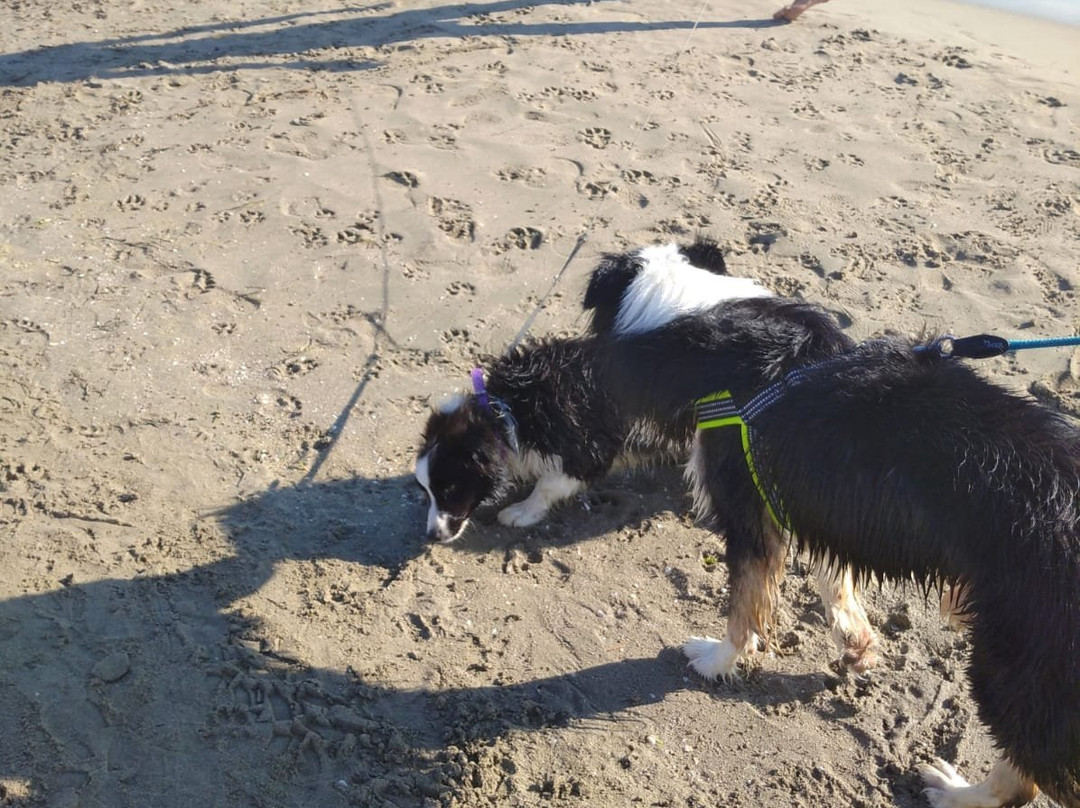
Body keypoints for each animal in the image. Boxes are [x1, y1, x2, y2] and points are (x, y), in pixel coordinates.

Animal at [416, 239, 881, 674]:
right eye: (427, 493)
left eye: (450, 488)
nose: (430, 536)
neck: (505, 409)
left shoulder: (593, 445)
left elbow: (551, 483)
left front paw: (522, 511)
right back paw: (854, 639)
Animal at [591, 278, 1080, 803]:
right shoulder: (815, 506)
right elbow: (836, 581)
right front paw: (857, 642)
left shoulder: (749, 518)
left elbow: (743, 609)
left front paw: (716, 660)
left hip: (1014, 666)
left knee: (1027, 771)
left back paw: (955, 793)